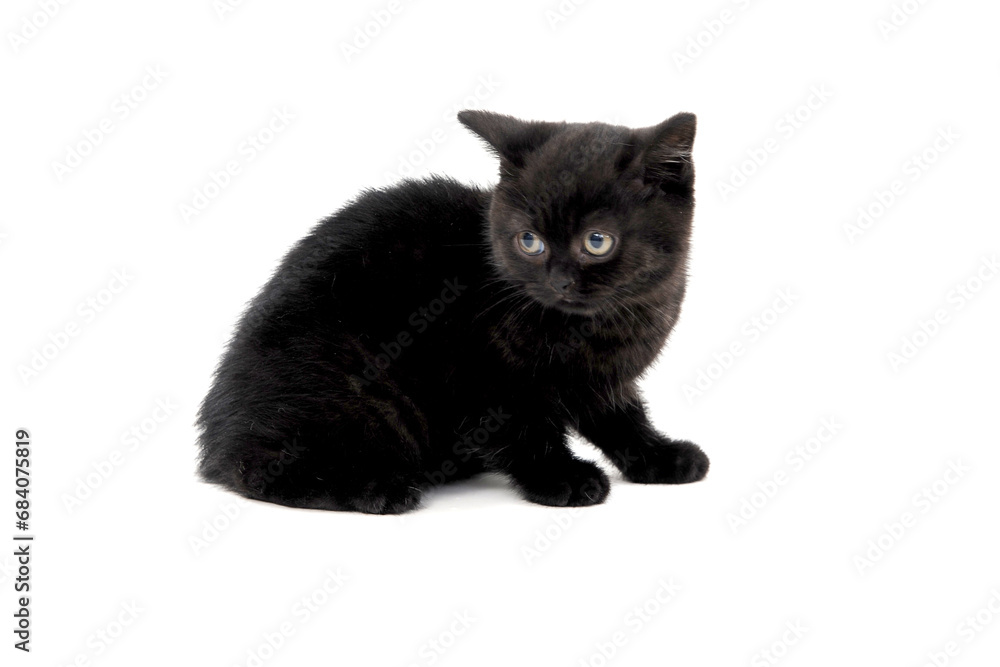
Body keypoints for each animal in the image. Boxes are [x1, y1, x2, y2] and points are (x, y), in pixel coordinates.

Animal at [195, 112, 708, 516]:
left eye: (597, 241)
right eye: (529, 241)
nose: (558, 282)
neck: (601, 327)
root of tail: (215, 442)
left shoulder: (602, 378)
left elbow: (622, 418)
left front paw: (661, 456)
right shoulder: (478, 375)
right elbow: (522, 431)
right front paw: (561, 477)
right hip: (357, 390)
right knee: (260, 468)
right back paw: (379, 486)